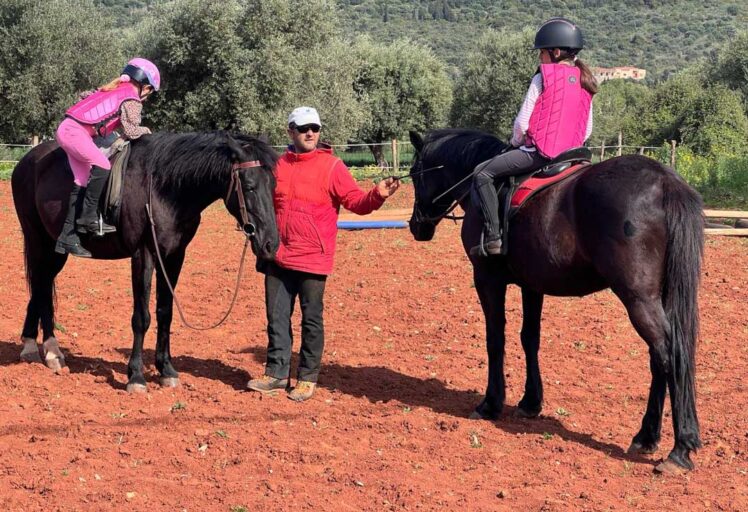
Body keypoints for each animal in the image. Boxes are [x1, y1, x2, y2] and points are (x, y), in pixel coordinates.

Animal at [11, 131, 278, 392]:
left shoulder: (174, 256)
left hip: (55, 250)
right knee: (41, 286)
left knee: (42, 286)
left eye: (274, 185)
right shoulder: (144, 254)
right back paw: (48, 352)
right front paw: (136, 376)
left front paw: (166, 370)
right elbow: (141, 317)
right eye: (250, 186)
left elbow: (165, 312)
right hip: (38, 241)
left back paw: (37, 347)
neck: (164, 189)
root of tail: (27, 161)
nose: (270, 244)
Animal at [407, 129, 704, 474]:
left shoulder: (487, 279)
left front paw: (491, 403)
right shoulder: (531, 285)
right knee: (660, 357)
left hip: (638, 297)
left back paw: (679, 449)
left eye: (415, 172)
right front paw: (530, 402)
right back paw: (647, 437)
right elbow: (529, 339)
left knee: (668, 354)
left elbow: (495, 339)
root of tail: (664, 181)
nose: (416, 226)